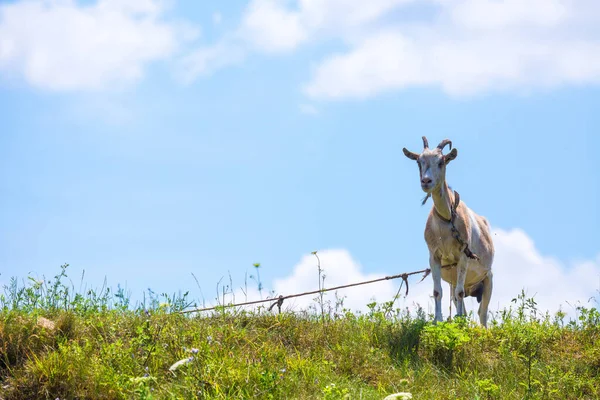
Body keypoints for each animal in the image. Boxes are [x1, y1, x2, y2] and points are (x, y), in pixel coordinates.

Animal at [400, 136, 494, 326]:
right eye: (419, 161)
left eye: (441, 161)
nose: (426, 181)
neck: (447, 219)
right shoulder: (434, 256)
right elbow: (438, 291)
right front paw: (438, 320)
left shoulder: (464, 255)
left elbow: (459, 293)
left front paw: (459, 323)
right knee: (459, 298)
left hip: (488, 278)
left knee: (482, 312)